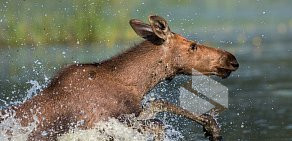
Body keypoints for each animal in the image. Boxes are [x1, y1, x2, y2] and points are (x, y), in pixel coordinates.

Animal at [0, 14, 238, 140]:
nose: (231, 59)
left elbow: (159, 104)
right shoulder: (103, 121)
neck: (136, 84)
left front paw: (211, 127)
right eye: (193, 46)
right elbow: (158, 122)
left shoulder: (132, 112)